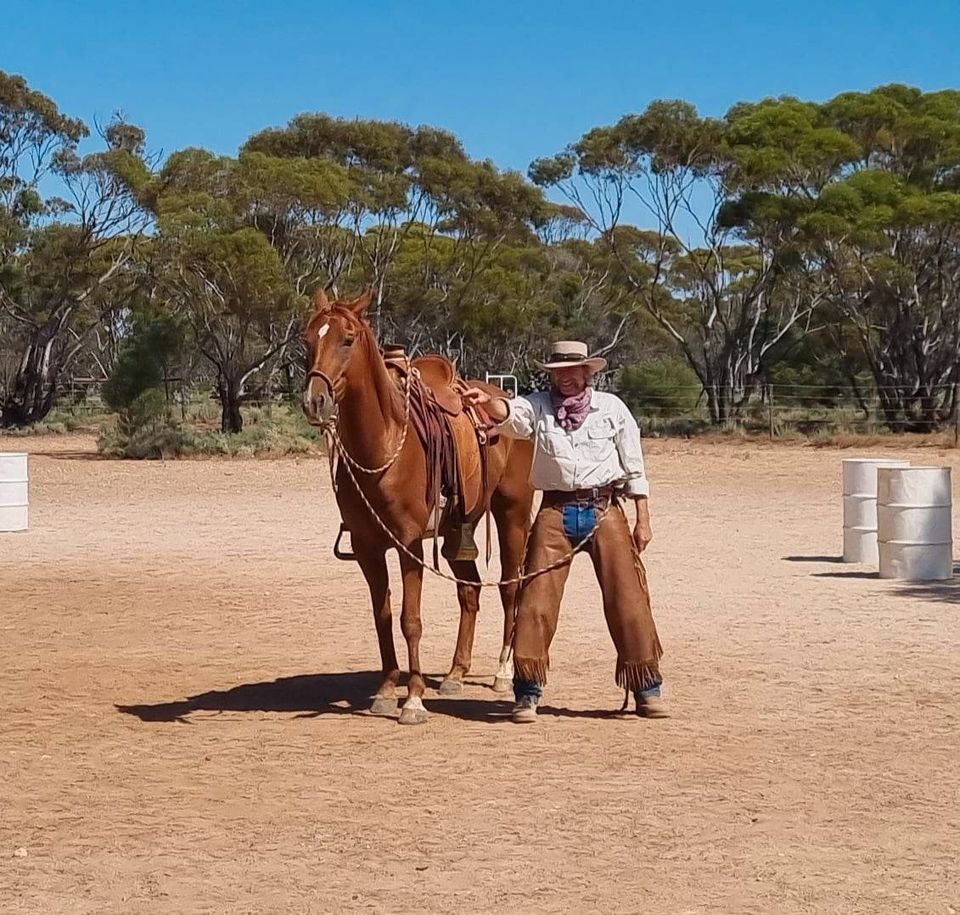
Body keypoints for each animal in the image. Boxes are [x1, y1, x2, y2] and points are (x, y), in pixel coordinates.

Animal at [304, 290, 536, 728]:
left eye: (347, 339)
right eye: (307, 340)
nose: (315, 401)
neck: (385, 443)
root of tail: (506, 402)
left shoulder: (408, 544)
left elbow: (410, 620)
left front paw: (412, 699)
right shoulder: (368, 547)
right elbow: (382, 617)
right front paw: (385, 690)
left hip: (511, 513)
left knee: (510, 587)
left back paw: (502, 672)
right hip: (459, 532)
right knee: (470, 591)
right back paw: (455, 674)